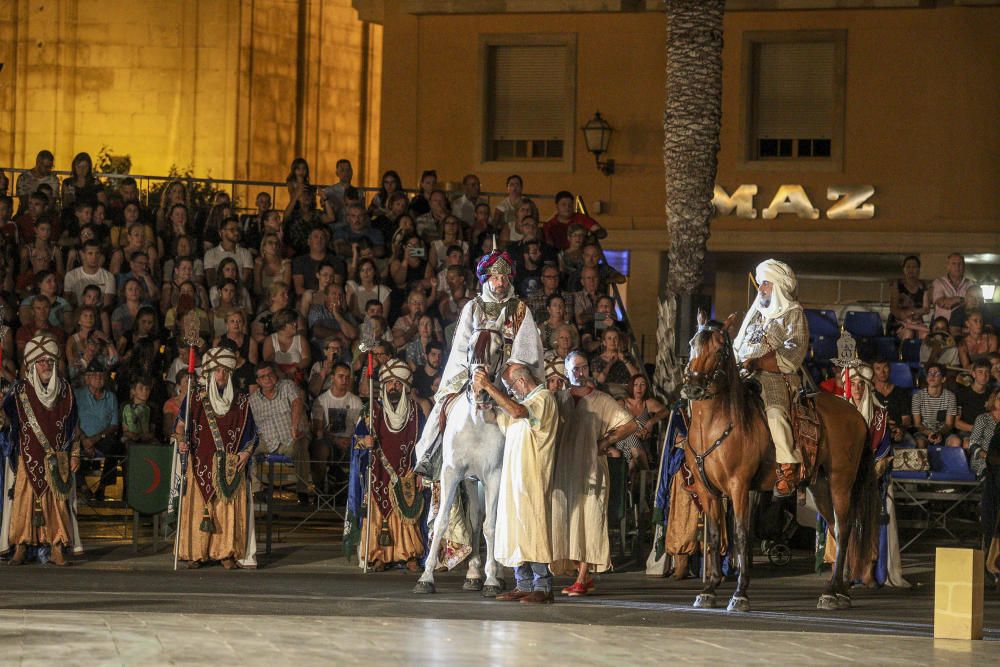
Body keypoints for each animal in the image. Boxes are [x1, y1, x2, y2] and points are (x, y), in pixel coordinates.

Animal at [414, 328, 508, 596]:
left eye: (499, 348)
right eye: (469, 347)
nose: (479, 390)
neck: (476, 421)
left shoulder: (494, 475)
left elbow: (491, 525)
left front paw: (492, 580)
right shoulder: (453, 472)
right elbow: (443, 521)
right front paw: (426, 577)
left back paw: (496, 573)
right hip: (471, 480)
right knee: (475, 518)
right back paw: (473, 574)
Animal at [680, 316, 884, 612]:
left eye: (719, 350)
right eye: (692, 344)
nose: (693, 388)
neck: (716, 424)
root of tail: (856, 415)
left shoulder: (739, 487)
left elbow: (741, 534)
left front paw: (740, 594)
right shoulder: (709, 491)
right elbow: (717, 534)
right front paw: (709, 589)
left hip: (841, 483)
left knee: (844, 528)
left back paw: (831, 591)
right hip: (820, 488)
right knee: (837, 529)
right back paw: (842, 590)